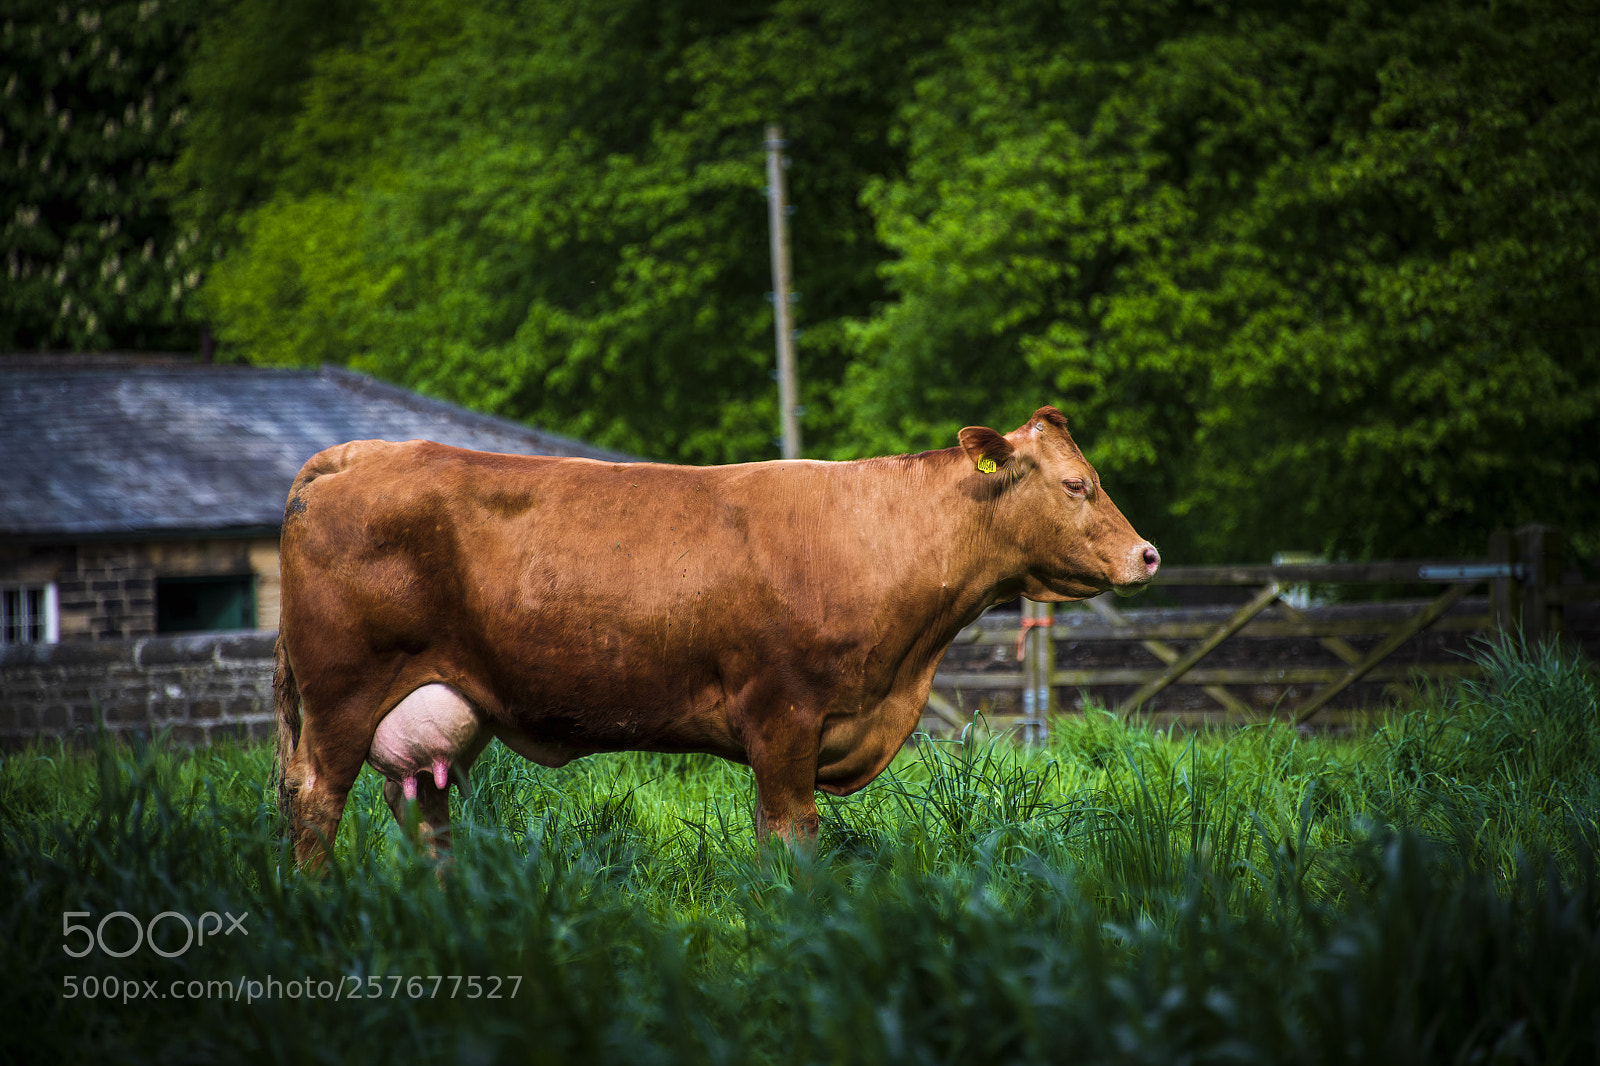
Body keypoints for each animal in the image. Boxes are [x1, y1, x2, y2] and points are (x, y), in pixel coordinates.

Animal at [274, 405, 1159, 868]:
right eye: (1078, 484)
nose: (1147, 553)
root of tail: (358, 452)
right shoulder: (784, 716)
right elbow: (794, 836)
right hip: (341, 694)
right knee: (315, 801)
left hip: (431, 708)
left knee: (421, 811)